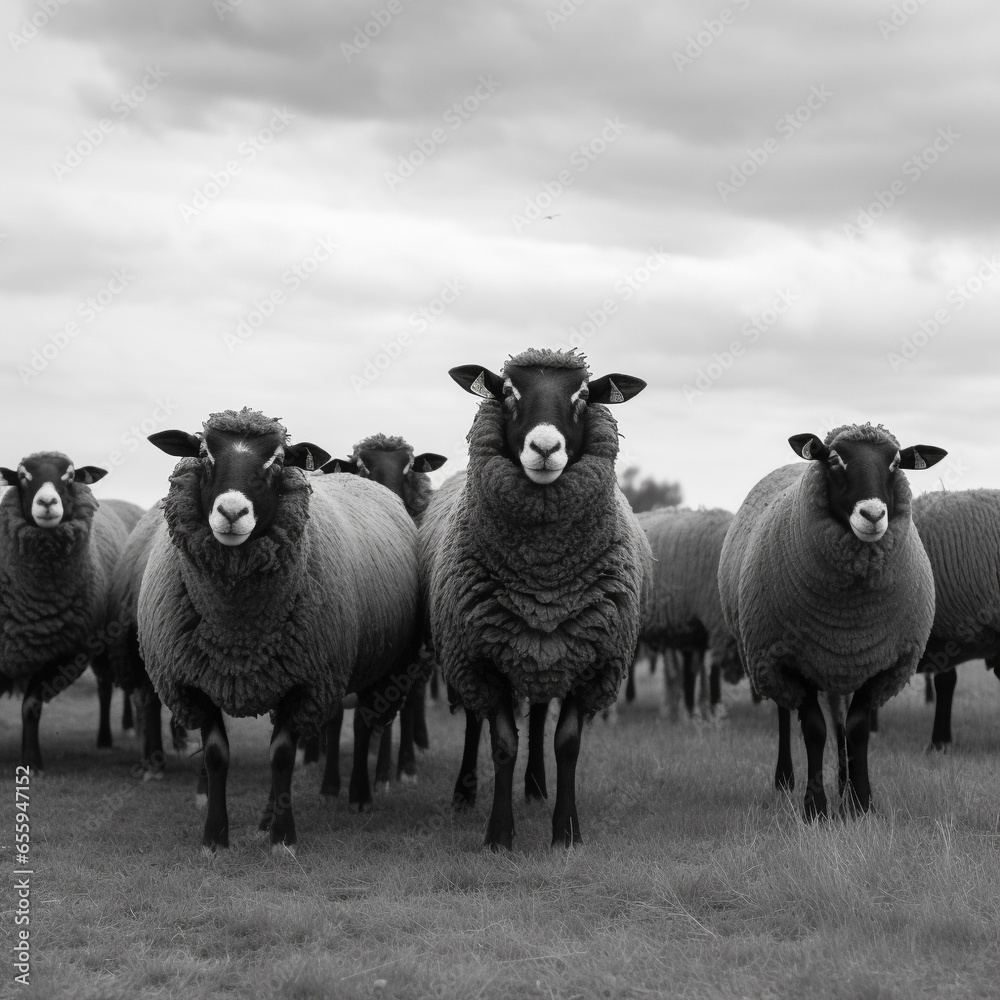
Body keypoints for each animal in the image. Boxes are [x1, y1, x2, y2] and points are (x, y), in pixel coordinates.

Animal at [0, 452, 138, 773]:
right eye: (22, 476)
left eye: (70, 475)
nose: (47, 502)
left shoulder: (66, 652)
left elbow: (31, 705)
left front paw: (32, 763)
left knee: (110, 686)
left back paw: (119, 733)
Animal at [136, 407, 422, 854]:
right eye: (203, 454)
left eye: (277, 460)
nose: (231, 512)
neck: (237, 629)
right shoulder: (195, 682)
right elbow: (217, 754)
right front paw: (215, 838)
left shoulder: (305, 681)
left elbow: (283, 755)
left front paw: (283, 839)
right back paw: (268, 815)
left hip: (381, 666)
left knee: (362, 726)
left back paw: (358, 795)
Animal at [421, 349, 652, 849]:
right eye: (509, 391)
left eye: (583, 395)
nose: (545, 448)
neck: (543, 574)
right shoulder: (480, 658)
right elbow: (502, 743)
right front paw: (498, 835)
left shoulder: (595, 660)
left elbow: (566, 743)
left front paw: (566, 831)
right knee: (474, 721)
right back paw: (465, 792)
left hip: (547, 649)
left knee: (542, 709)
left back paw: (536, 786)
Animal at [718, 423, 946, 818]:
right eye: (836, 459)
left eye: (896, 462)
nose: (873, 514)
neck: (850, 615)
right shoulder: (790, 659)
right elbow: (813, 729)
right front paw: (815, 808)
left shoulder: (882, 663)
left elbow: (856, 728)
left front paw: (860, 803)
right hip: (770, 657)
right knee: (785, 712)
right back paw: (784, 780)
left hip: (839, 662)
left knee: (839, 715)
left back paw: (842, 782)